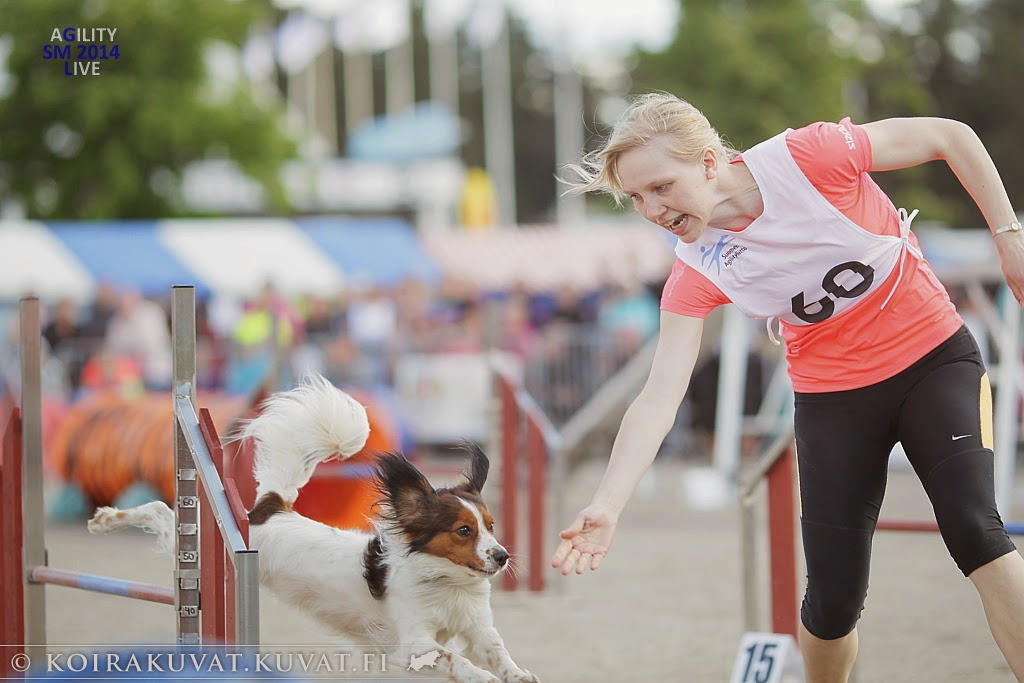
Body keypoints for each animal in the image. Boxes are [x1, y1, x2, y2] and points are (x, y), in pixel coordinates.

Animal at [88, 373, 539, 683]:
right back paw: (108, 519)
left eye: (491, 526)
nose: (503, 556)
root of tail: (271, 510)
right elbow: (457, 660)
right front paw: (482, 677)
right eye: (464, 531)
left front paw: (518, 676)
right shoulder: (414, 644)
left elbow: (500, 655)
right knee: (161, 512)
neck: (448, 585)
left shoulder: (479, 630)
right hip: (196, 557)